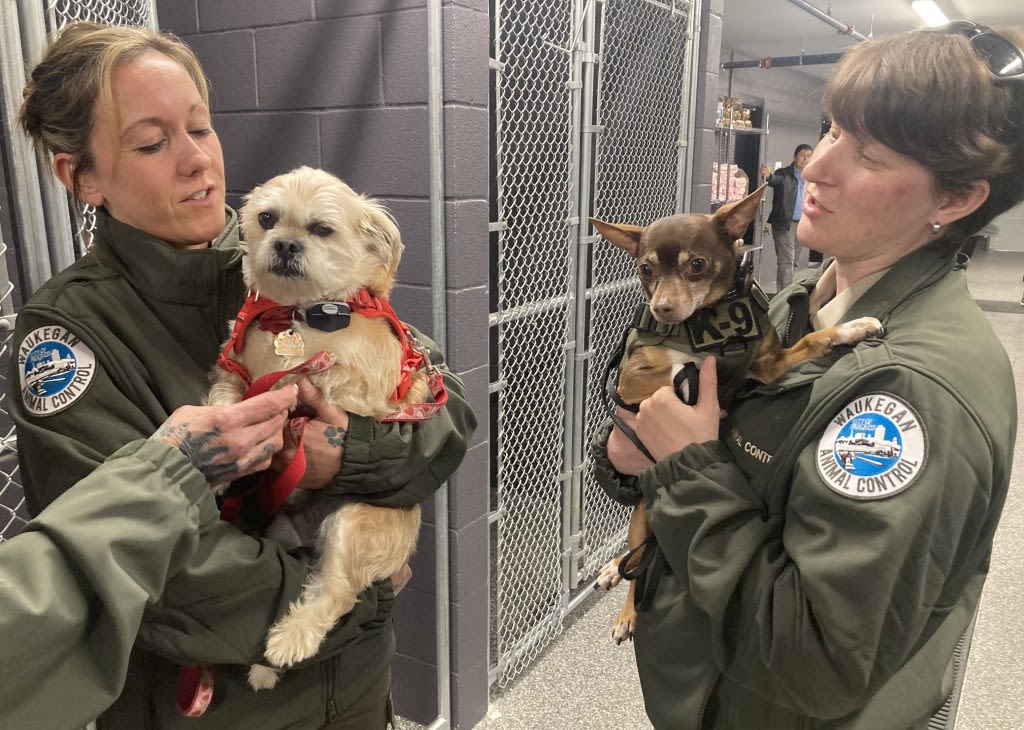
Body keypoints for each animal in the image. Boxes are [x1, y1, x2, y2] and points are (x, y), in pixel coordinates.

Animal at [207, 166, 432, 688]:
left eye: (322, 229)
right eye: (267, 219)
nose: (286, 244)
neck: (296, 314)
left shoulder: (356, 390)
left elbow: (303, 385)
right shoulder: (234, 369)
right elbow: (224, 401)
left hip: (353, 521)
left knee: (337, 591)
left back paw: (291, 640)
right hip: (279, 531)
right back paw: (263, 667)